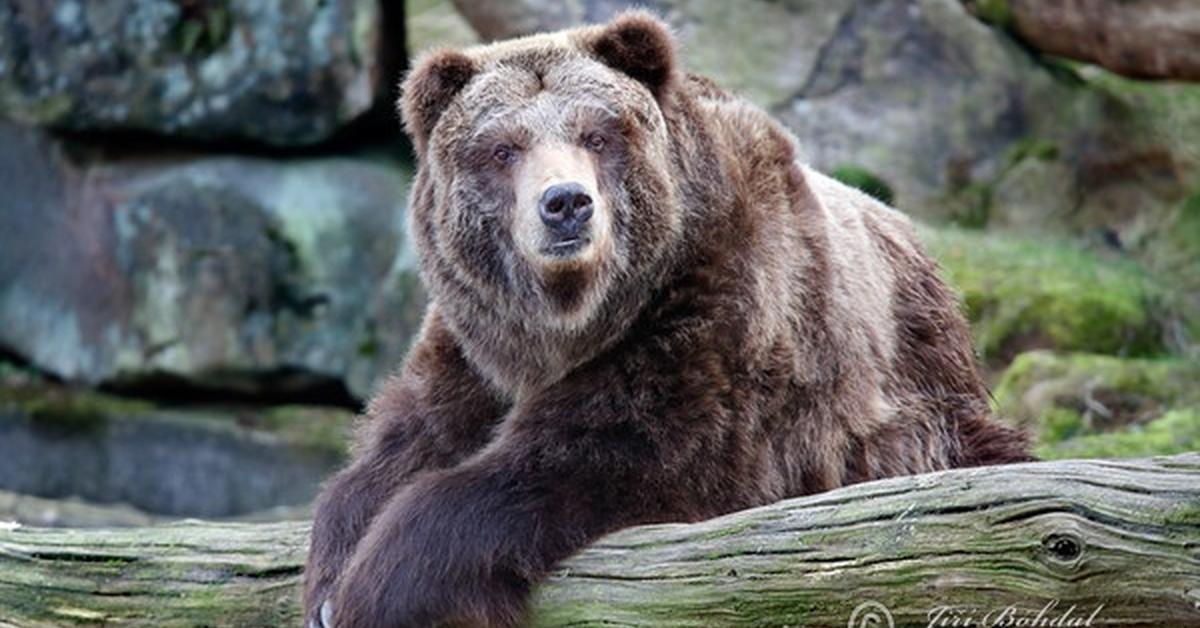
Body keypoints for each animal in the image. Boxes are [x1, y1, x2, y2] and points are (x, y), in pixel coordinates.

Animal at [304, 11, 1027, 628]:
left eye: (597, 134)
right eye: (503, 148)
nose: (565, 203)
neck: (569, 324)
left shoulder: (719, 316)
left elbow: (599, 451)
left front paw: (375, 590)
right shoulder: (477, 344)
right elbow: (406, 439)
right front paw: (331, 569)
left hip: (926, 396)